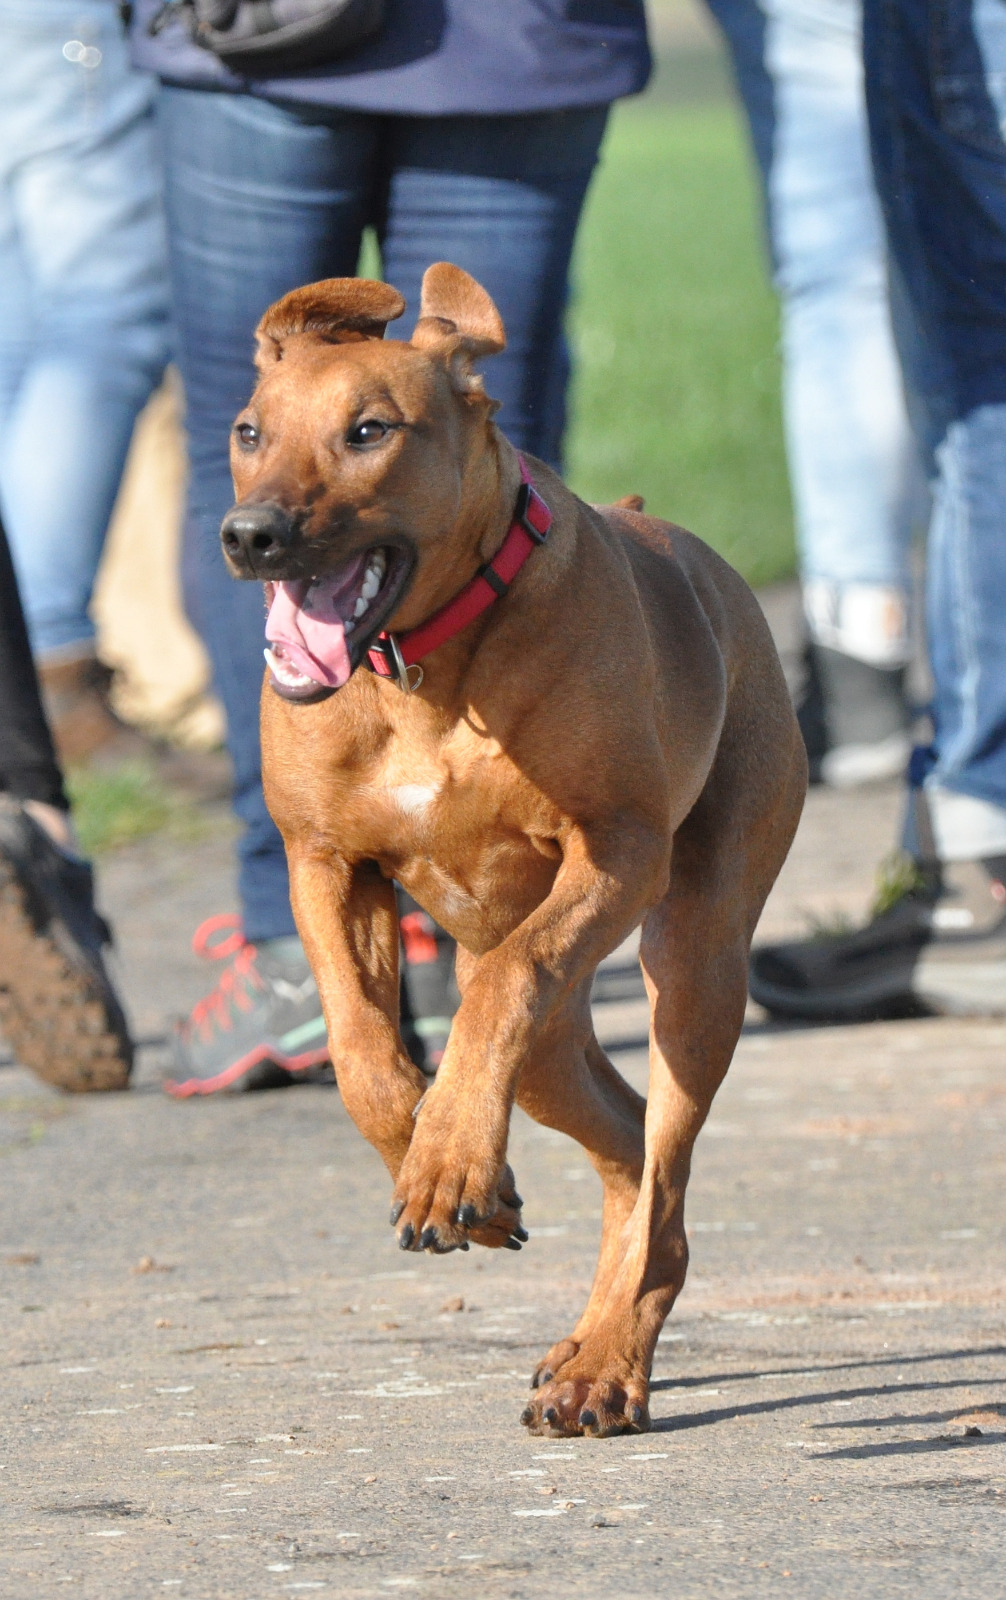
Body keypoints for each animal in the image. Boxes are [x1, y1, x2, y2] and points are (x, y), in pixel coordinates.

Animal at [220, 264, 806, 1437]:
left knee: (660, 1157)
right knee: (628, 1143)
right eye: (249, 431)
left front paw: (449, 1158)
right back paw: (578, 1320)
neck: (419, 668)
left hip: (695, 954)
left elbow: (502, 980)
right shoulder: (322, 864)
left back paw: (607, 1363)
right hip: (549, 1055)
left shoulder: (615, 854)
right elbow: (358, 1047)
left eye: (368, 431)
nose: (249, 534)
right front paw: (437, 1158)